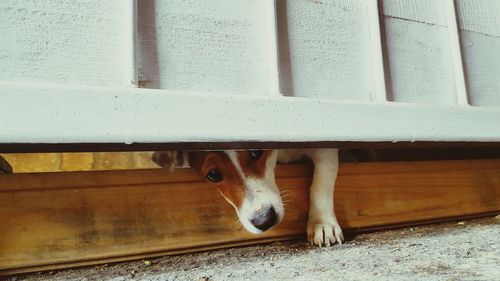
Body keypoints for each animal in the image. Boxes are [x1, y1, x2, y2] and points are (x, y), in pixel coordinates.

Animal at [152, 148, 344, 246]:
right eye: (213, 174)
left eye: (255, 151)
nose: (264, 220)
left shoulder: (324, 150)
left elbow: (321, 183)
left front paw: (322, 224)